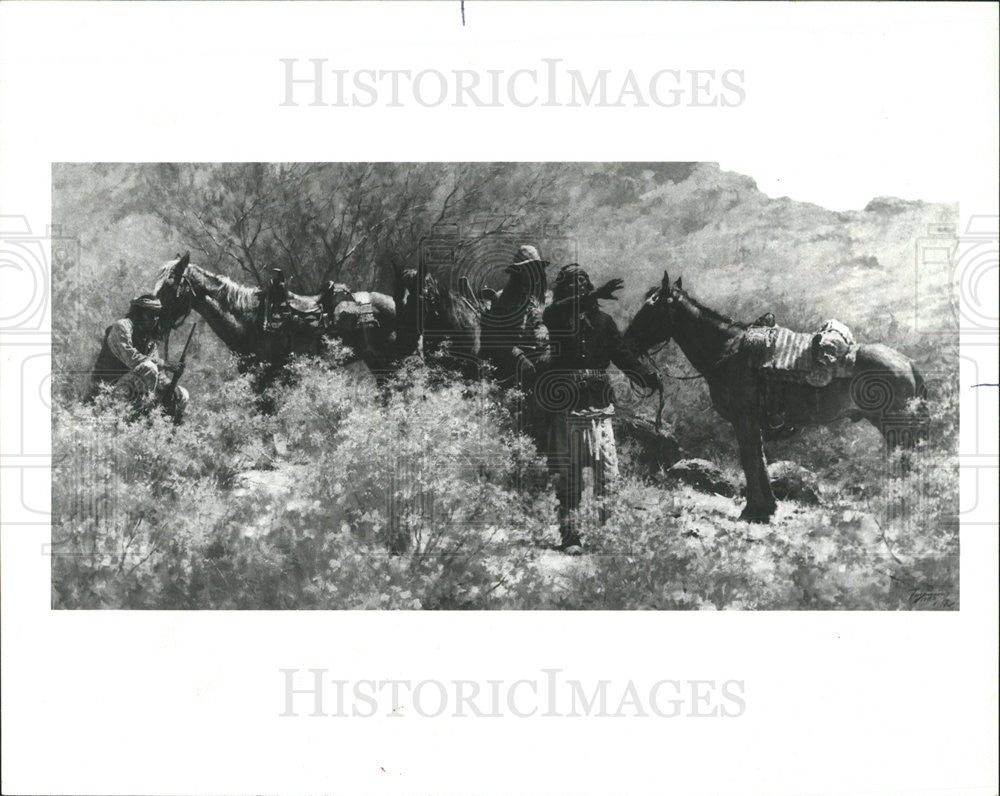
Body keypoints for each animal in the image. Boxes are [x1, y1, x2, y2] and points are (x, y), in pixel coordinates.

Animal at [624, 274, 928, 524]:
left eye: (650, 308)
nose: (627, 341)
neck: (729, 350)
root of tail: (907, 363)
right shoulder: (753, 421)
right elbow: (758, 459)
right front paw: (766, 507)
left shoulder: (743, 418)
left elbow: (750, 459)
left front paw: (754, 510)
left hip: (895, 429)